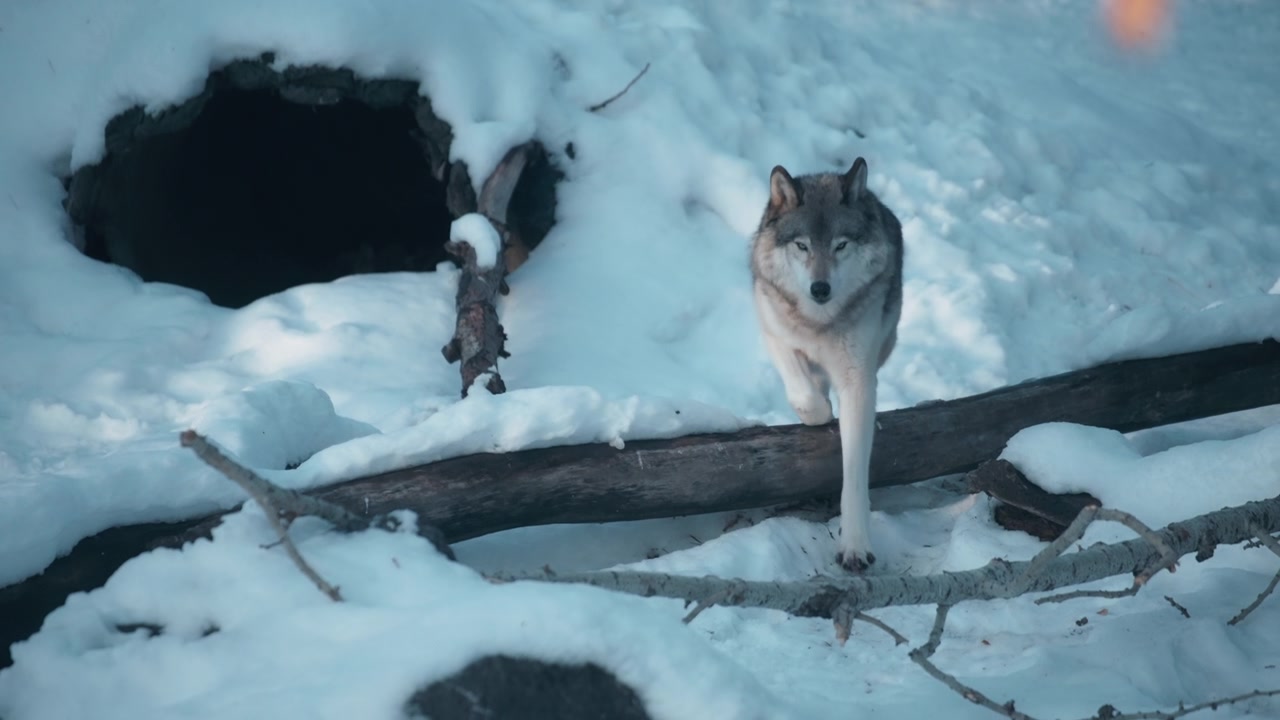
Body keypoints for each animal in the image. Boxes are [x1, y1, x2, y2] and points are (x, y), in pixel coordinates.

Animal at [750, 157, 904, 572]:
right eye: (802, 245)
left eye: (841, 245)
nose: (820, 288)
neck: (819, 323)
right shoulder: (772, 329)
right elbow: (806, 394)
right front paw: (815, 413)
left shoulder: (858, 377)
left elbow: (855, 471)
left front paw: (855, 546)